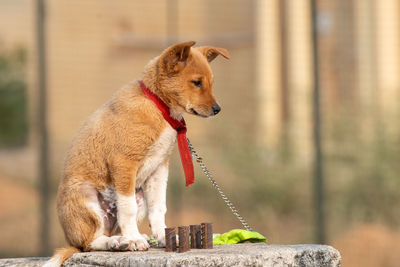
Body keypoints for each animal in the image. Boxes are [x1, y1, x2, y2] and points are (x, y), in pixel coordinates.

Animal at [43, 40, 228, 266]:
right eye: (196, 82)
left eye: (211, 83)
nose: (217, 109)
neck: (158, 107)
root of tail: (72, 240)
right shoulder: (124, 164)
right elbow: (127, 208)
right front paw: (133, 239)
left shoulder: (159, 168)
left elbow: (159, 207)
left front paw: (164, 236)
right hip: (86, 198)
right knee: (90, 242)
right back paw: (119, 241)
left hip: (139, 196)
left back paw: (129, 238)